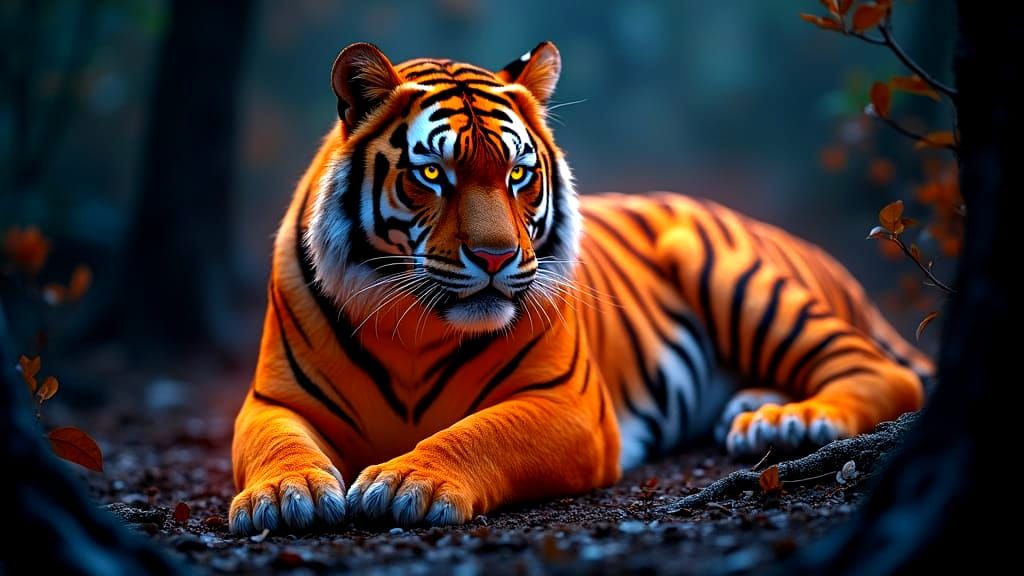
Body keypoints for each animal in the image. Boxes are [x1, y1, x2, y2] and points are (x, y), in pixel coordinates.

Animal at [229, 42, 930, 534]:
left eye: (517, 174)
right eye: (432, 174)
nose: (495, 257)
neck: (416, 327)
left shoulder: (567, 405)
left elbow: (478, 433)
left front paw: (407, 481)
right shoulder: (272, 399)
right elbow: (274, 442)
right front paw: (281, 496)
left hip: (742, 282)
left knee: (887, 373)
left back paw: (791, 420)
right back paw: (755, 414)